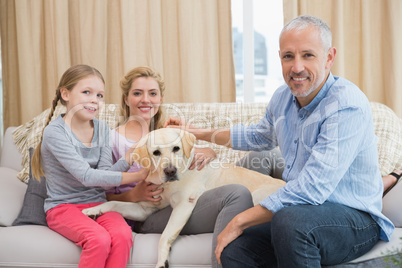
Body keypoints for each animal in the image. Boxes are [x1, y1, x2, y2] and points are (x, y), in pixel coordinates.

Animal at [81, 127, 284, 268]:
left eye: (176, 148)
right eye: (156, 152)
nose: (170, 171)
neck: (167, 184)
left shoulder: (183, 205)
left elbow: (164, 236)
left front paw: (162, 261)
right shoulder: (145, 209)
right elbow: (114, 202)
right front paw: (93, 209)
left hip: (256, 196)